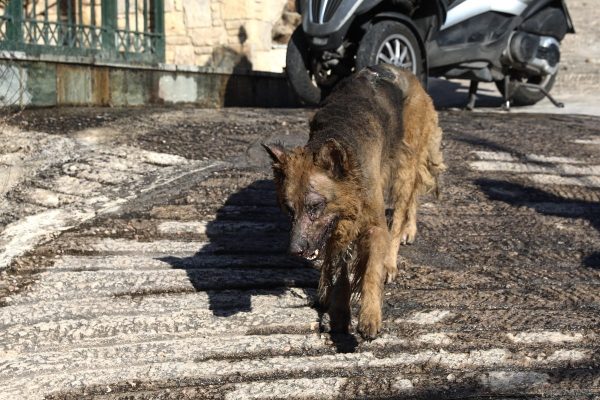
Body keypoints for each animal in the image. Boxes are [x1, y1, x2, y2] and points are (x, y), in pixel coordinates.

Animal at [264, 64, 446, 340]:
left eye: (315, 206)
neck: (341, 134)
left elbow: (370, 270)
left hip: (404, 166)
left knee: (402, 211)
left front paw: (370, 315)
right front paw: (336, 305)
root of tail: (405, 72)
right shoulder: (336, 229)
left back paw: (392, 257)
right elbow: (337, 265)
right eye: (289, 209)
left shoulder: (374, 225)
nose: (294, 250)